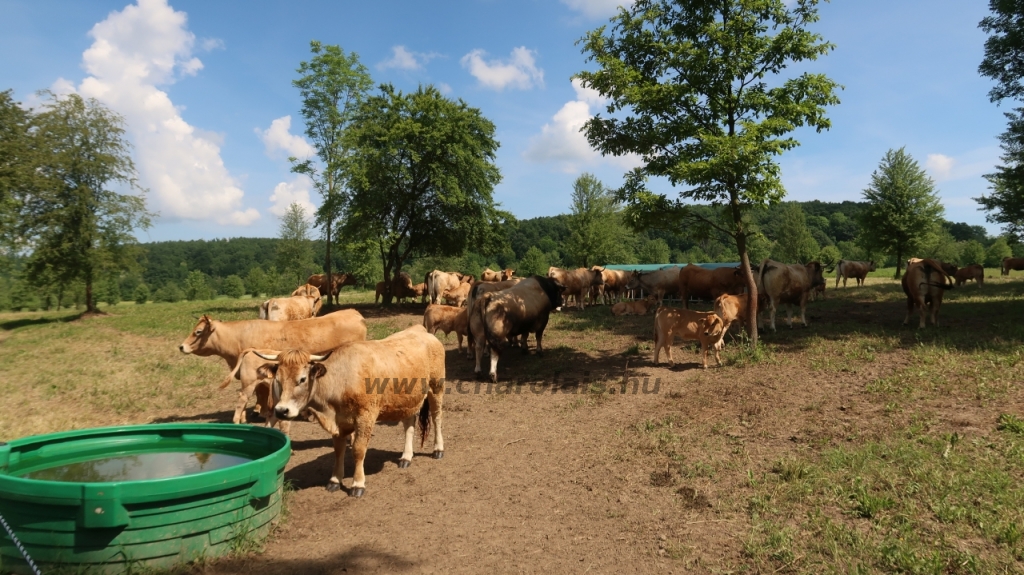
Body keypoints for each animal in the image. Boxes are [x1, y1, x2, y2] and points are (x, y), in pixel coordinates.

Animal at [260, 325, 444, 495]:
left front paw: (358, 483)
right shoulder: (339, 422)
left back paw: (438, 449)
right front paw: (335, 480)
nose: (281, 410)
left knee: (437, 418)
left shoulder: (366, 417)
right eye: (278, 379)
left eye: (302, 379)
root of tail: (421, 330)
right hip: (408, 400)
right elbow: (339, 450)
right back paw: (406, 456)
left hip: (436, 388)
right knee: (409, 424)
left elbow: (358, 450)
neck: (341, 380)